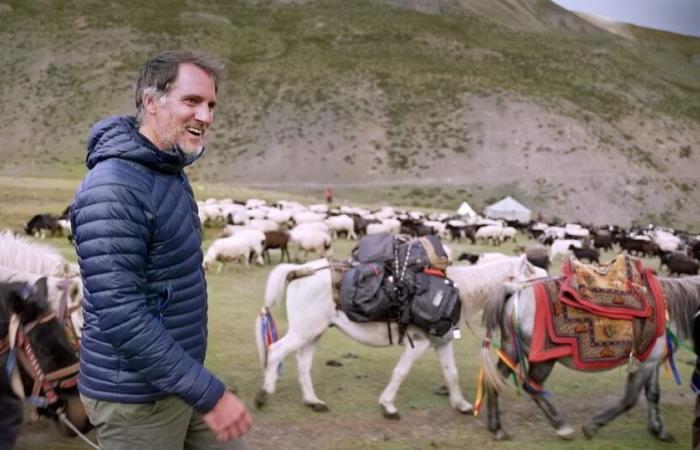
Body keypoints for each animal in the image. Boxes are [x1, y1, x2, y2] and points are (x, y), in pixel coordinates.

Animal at [254, 255, 548, 416]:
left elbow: (451, 374)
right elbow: (401, 371)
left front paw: (462, 405)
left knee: (303, 363)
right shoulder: (418, 343)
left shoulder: (442, 342)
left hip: (313, 332)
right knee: (276, 351)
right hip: (303, 331)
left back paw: (313, 401)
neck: (456, 290)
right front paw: (388, 406)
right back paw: (264, 394)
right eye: (538, 278)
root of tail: (297, 271)